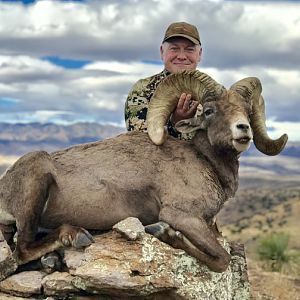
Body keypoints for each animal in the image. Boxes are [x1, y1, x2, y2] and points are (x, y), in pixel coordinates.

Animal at [0, 71, 288, 274]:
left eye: (247, 112)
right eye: (209, 111)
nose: (243, 130)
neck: (205, 162)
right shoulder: (182, 216)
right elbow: (222, 259)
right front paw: (164, 233)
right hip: (36, 181)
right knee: (22, 250)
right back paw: (75, 236)